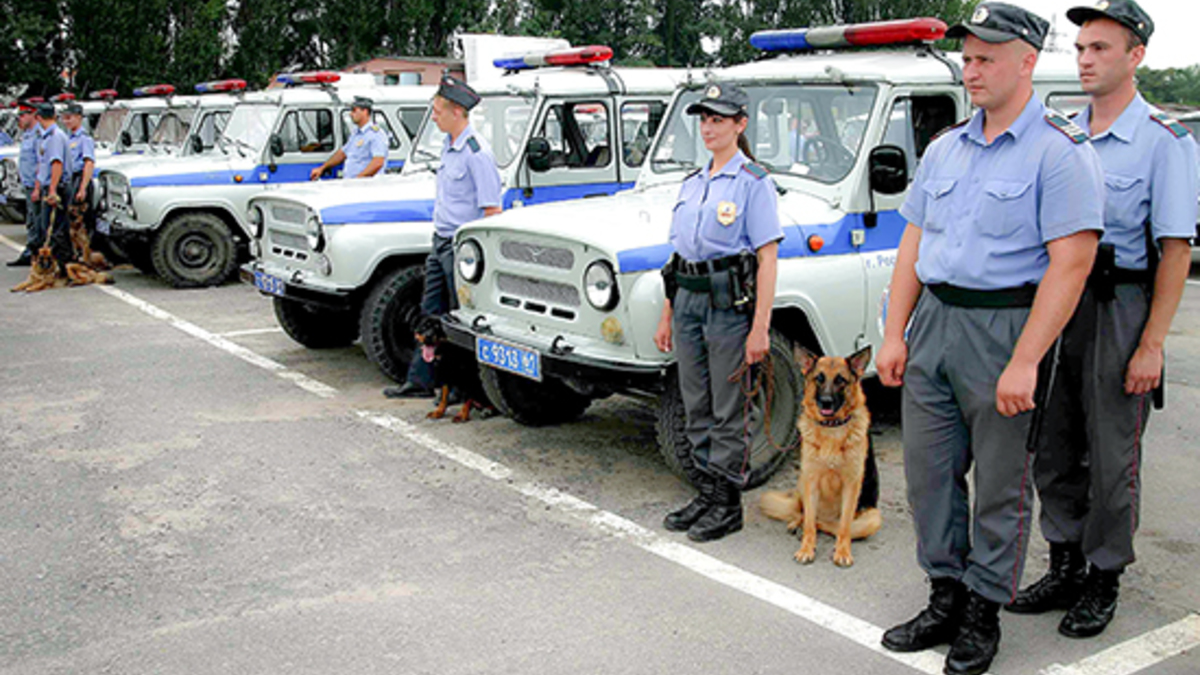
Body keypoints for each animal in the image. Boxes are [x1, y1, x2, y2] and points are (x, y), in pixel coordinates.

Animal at [758, 343, 883, 564]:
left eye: (840, 380)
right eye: (819, 378)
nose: (825, 402)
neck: (831, 429)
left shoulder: (851, 485)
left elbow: (843, 526)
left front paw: (843, 551)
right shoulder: (812, 481)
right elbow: (809, 522)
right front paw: (806, 549)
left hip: (873, 518)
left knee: (830, 525)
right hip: (802, 481)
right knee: (807, 516)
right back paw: (797, 525)